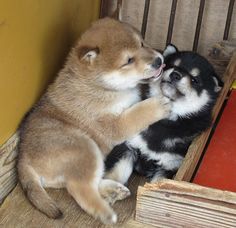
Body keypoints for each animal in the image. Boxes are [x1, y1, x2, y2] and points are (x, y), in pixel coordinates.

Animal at [17, 18, 169, 224]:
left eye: (142, 43)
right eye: (128, 60)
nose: (159, 60)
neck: (100, 86)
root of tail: (22, 158)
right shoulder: (113, 126)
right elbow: (136, 113)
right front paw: (157, 104)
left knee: (78, 183)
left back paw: (113, 190)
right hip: (84, 147)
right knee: (82, 191)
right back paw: (107, 214)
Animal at [105, 44, 223, 183]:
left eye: (195, 80)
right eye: (171, 65)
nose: (175, 75)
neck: (166, 121)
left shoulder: (170, 167)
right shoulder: (128, 145)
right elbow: (115, 174)